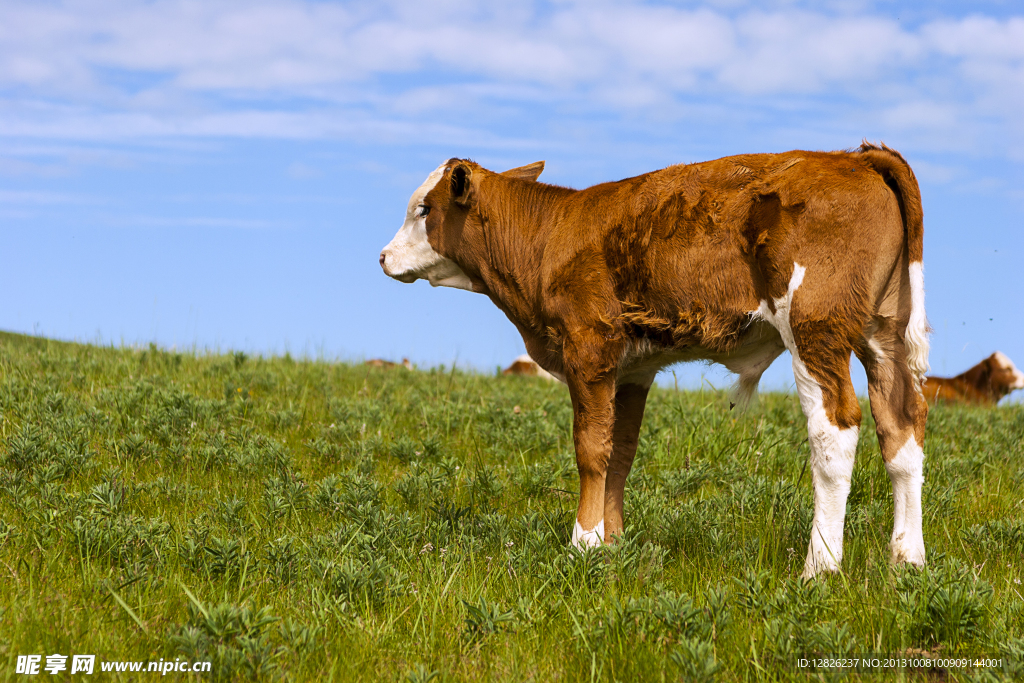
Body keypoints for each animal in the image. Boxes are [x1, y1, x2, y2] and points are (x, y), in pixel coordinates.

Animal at [380, 145, 933, 577]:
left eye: (423, 209)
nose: (383, 256)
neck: (549, 237)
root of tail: (853, 156)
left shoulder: (589, 349)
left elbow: (591, 450)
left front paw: (582, 545)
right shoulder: (632, 370)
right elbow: (620, 453)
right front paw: (612, 544)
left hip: (814, 329)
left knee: (835, 433)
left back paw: (819, 566)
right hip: (882, 335)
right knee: (900, 430)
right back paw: (907, 559)